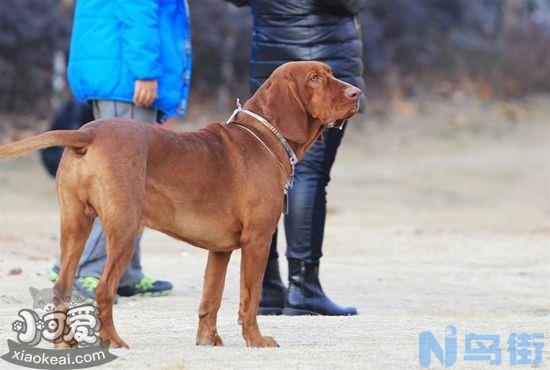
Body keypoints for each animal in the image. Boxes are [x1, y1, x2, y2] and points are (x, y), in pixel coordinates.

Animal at [0, 62, 362, 348]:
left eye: (330, 73)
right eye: (315, 78)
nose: (357, 92)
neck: (264, 138)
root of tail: (86, 134)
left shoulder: (220, 249)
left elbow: (211, 296)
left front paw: (208, 339)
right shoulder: (257, 240)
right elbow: (249, 298)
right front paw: (256, 340)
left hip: (75, 225)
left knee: (61, 286)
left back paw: (66, 342)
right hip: (124, 229)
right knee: (103, 289)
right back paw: (112, 340)